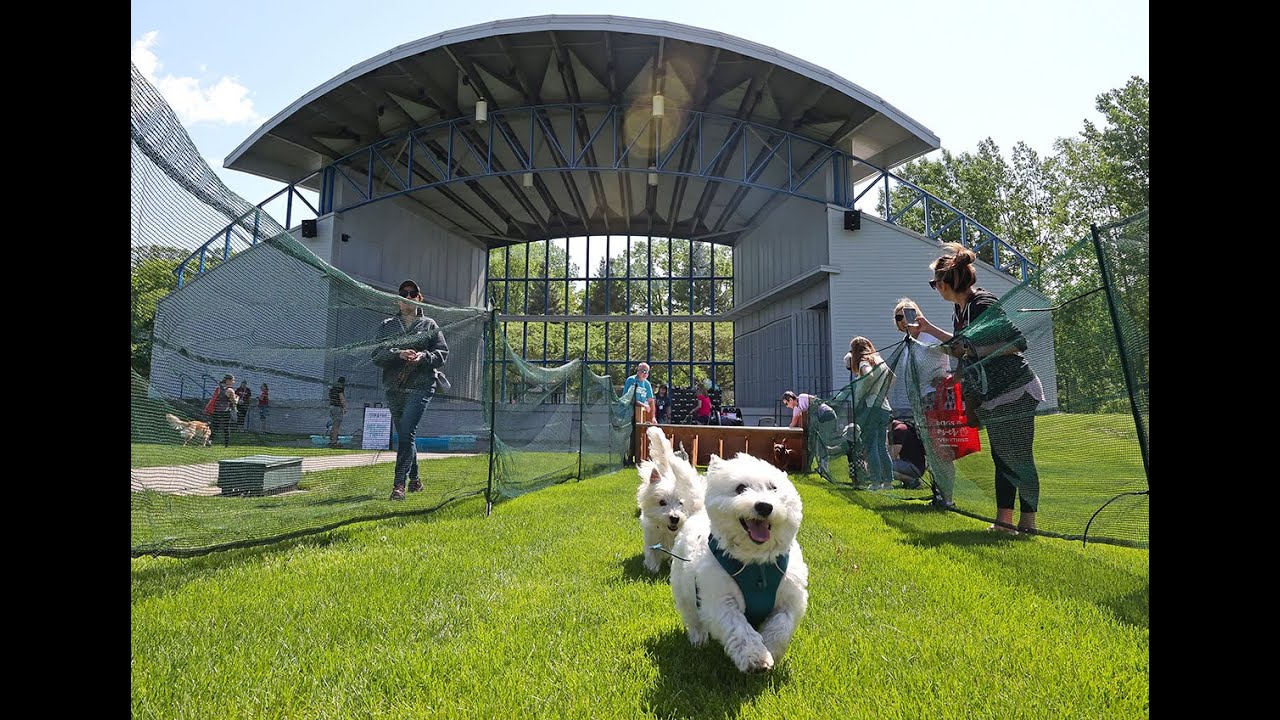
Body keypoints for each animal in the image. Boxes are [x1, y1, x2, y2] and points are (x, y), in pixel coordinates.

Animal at [636, 426, 705, 574]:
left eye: (682, 503)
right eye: (662, 502)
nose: (674, 518)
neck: (669, 532)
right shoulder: (652, 536)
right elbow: (652, 553)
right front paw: (652, 569)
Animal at [670, 452, 808, 673]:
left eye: (773, 488)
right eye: (740, 488)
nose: (764, 506)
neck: (756, 563)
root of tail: (698, 511)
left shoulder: (791, 598)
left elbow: (781, 626)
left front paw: (770, 649)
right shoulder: (720, 600)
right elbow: (739, 628)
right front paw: (755, 657)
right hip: (684, 590)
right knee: (692, 616)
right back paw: (698, 639)